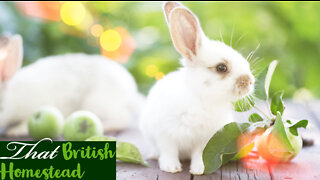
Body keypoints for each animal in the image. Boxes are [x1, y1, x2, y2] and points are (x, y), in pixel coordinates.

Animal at [0, 33, 144, 136]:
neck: (12, 97)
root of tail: (131, 93)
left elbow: (25, 123)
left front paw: (14, 131)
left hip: (97, 104)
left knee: (122, 118)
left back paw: (107, 126)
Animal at [140, 2, 255, 175]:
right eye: (221, 67)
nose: (249, 81)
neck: (201, 98)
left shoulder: (206, 139)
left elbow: (199, 154)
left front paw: (199, 169)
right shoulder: (165, 135)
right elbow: (169, 151)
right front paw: (171, 168)